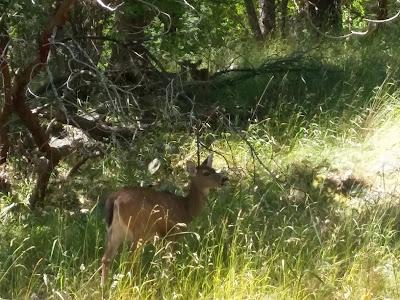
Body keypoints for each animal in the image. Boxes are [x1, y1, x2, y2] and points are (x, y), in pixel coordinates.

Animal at [100, 155, 228, 286]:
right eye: (206, 173)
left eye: (214, 169)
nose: (224, 179)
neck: (185, 208)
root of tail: (115, 198)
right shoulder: (173, 232)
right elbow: (169, 260)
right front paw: (167, 282)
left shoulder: (159, 237)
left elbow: (162, 260)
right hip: (139, 229)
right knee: (131, 259)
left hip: (115, 230)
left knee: (106, 259)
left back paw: (104, 287)